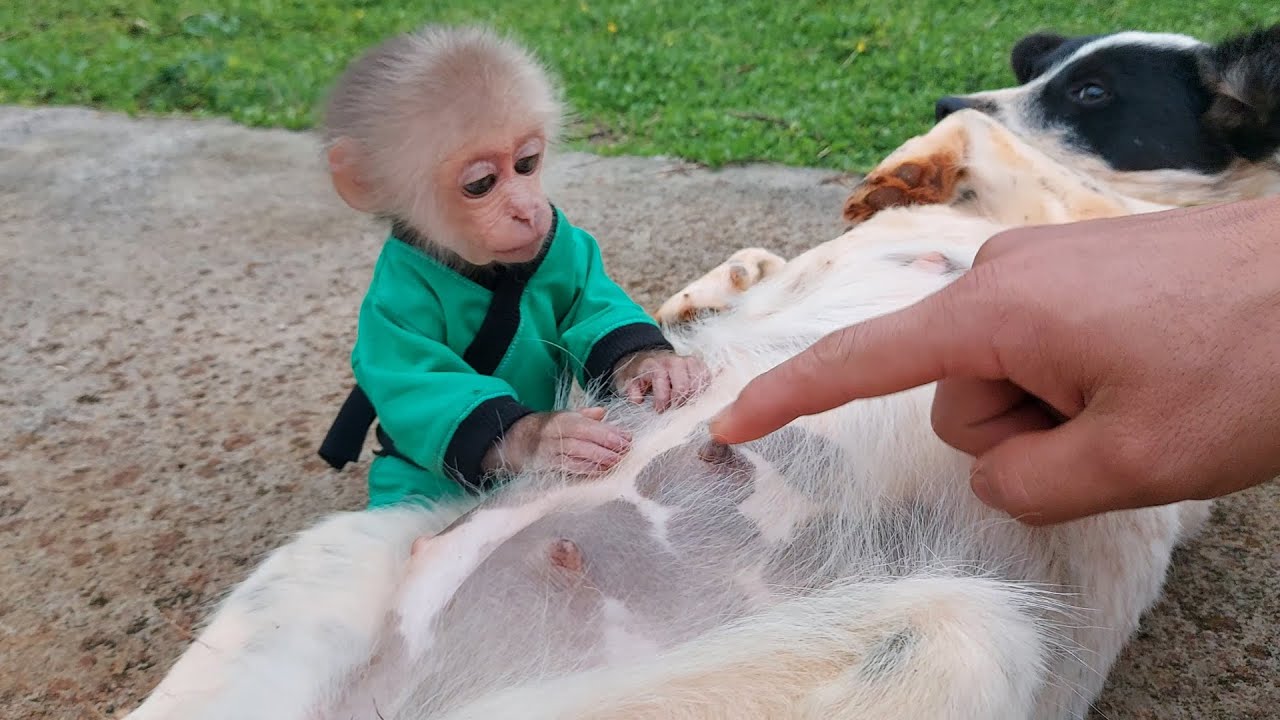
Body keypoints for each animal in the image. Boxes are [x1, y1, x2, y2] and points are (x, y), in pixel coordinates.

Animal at [315, 24, 709, 509]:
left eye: (526, 164)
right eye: (481, 184)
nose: (528, 209)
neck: (478, 266)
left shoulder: (561, 241)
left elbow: (594, 312)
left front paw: (653, 365)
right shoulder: (395, 295)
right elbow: (420, 378)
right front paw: (542, 437)